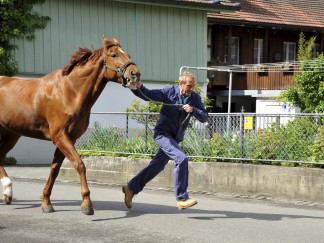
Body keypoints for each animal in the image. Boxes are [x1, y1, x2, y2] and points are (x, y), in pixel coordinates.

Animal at [0, 36, 140, 215]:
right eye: (114, 55)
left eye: (128, 55)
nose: (135, 74)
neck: (69, 92)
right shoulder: (60, 136)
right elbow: (80, 165)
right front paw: (87, 204)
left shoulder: (68, 138)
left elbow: (54, 170)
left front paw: (46, 202)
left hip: (11, 135)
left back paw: (7, 193)